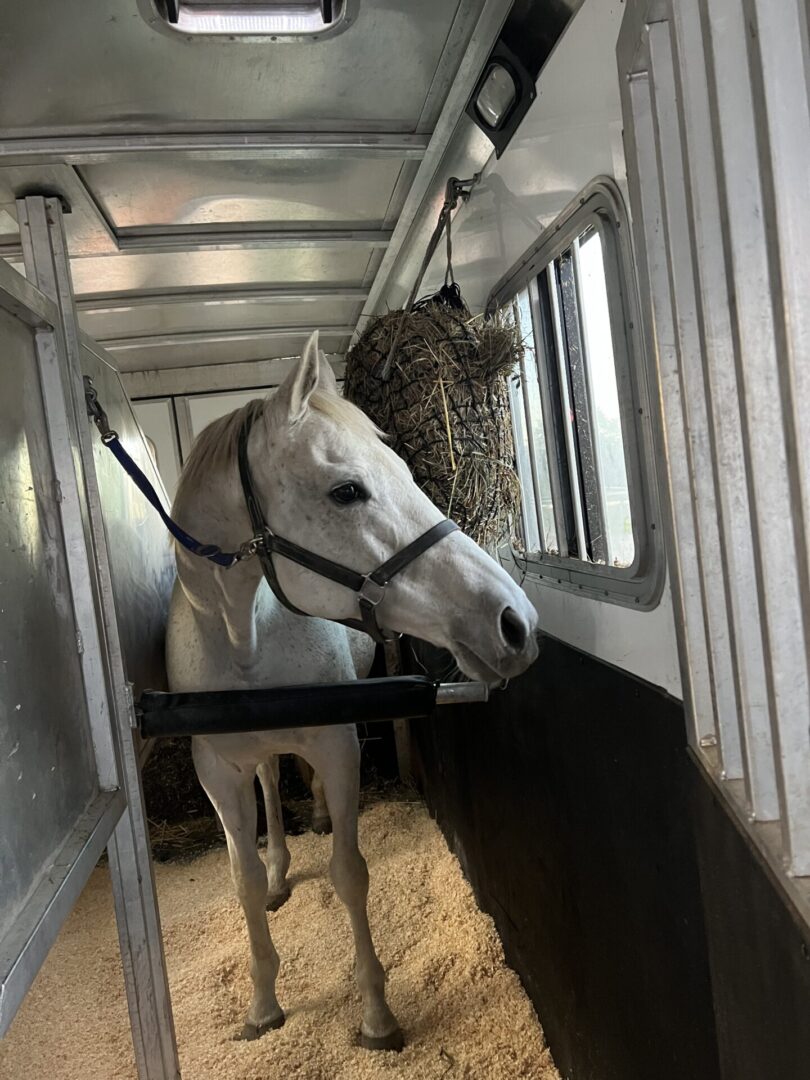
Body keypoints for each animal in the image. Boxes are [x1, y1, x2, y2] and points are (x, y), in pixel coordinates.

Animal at [165, 332, 540, 1049]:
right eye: (346, 490)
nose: (515, 621)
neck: (246, 639)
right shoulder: (216, 770)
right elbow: (242, 881)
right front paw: (262, 1005)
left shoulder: (337, 744)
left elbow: (348, 871)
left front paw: (375, 1013)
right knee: (270, 785)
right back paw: (283, 866)